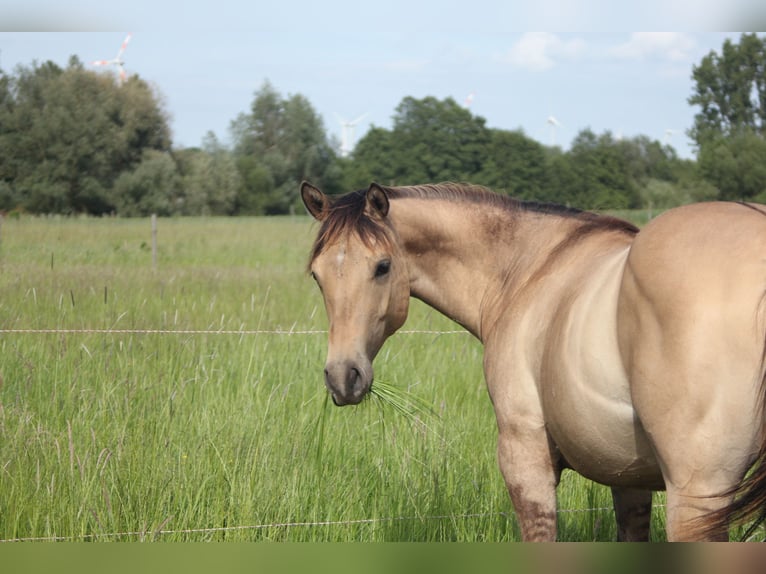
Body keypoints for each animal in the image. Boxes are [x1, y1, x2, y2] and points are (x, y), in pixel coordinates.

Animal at [300, 180, 766, 541]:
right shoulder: (627, 476)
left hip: (696, 500)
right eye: (317, 275)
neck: (528, 268)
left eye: (382, 266)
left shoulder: (525, 457)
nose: (343, 377)